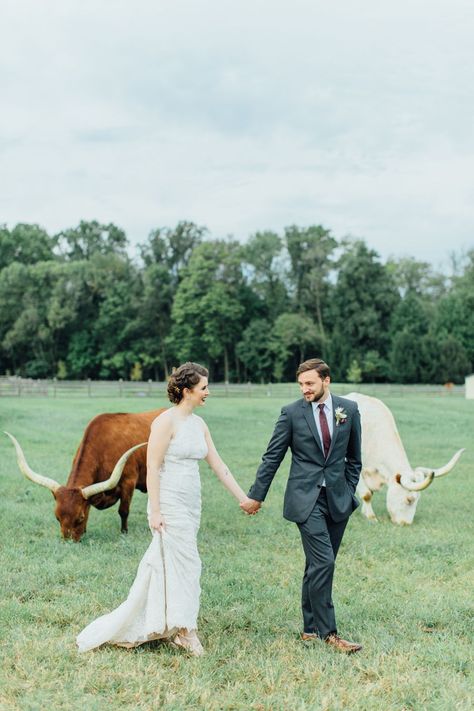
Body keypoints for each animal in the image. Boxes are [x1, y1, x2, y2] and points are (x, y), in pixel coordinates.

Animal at [4, 408, 165, 544]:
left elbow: (123, 511)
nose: (68, 542)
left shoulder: (128, 482)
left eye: (80, 518)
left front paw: (124, 532)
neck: (104, 446)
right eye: (57, 517)